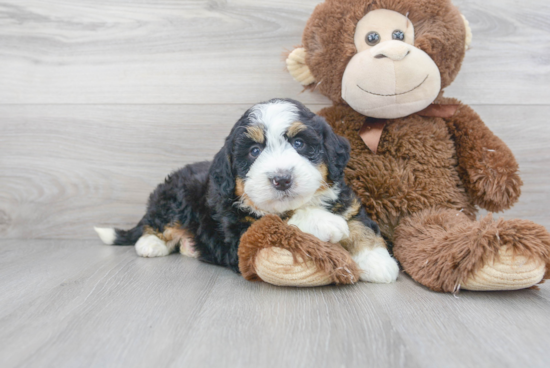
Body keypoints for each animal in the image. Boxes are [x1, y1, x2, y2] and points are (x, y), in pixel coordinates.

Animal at [96, 99, 402, 284]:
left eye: (300, 144)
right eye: (254, 151)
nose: (281, 179)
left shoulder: (347, 201)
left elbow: (361, 228)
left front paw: (378, 262)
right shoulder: (241, 232)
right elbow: (279, 221)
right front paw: (324, 222)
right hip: (176, 197)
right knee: (158, 223)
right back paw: (151, 244)